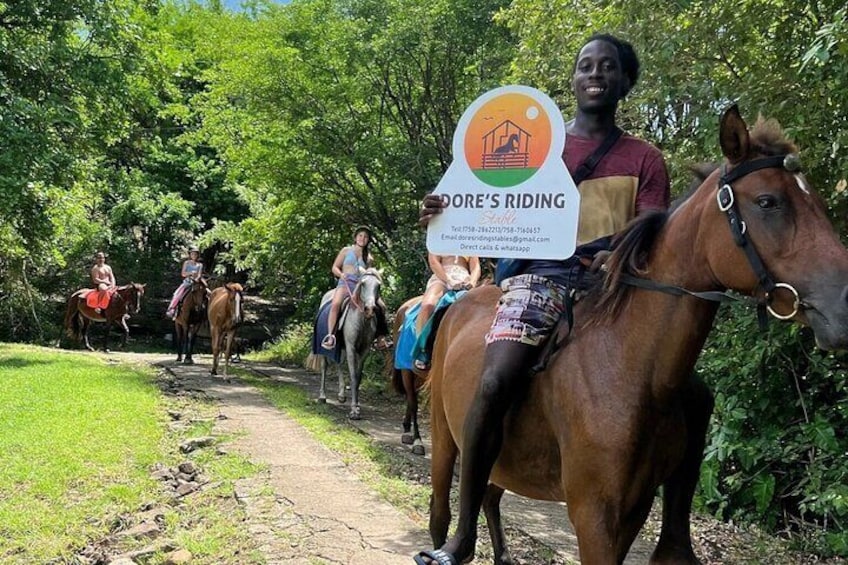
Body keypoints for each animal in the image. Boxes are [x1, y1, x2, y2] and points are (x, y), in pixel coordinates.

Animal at [424, 103, 848, 560]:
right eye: (768, 201)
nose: (844, 305)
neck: (629, 366)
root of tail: (457, 304)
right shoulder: (593, 514)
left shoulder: (634, 509)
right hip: (446, 436)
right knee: (442, 512)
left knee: (489, 496)